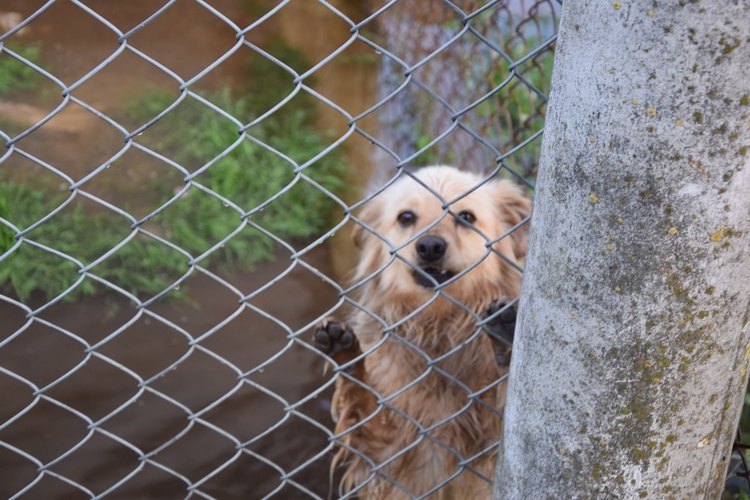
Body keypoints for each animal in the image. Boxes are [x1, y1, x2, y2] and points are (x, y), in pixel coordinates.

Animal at [314, 166, 532, 498]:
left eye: (466, 217)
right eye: (406, 217)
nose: (429, 246)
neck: (437, 328)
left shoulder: (491, 447)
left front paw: (506, 343)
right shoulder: (386, 455)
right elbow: (363, 404)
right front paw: (346, 356)